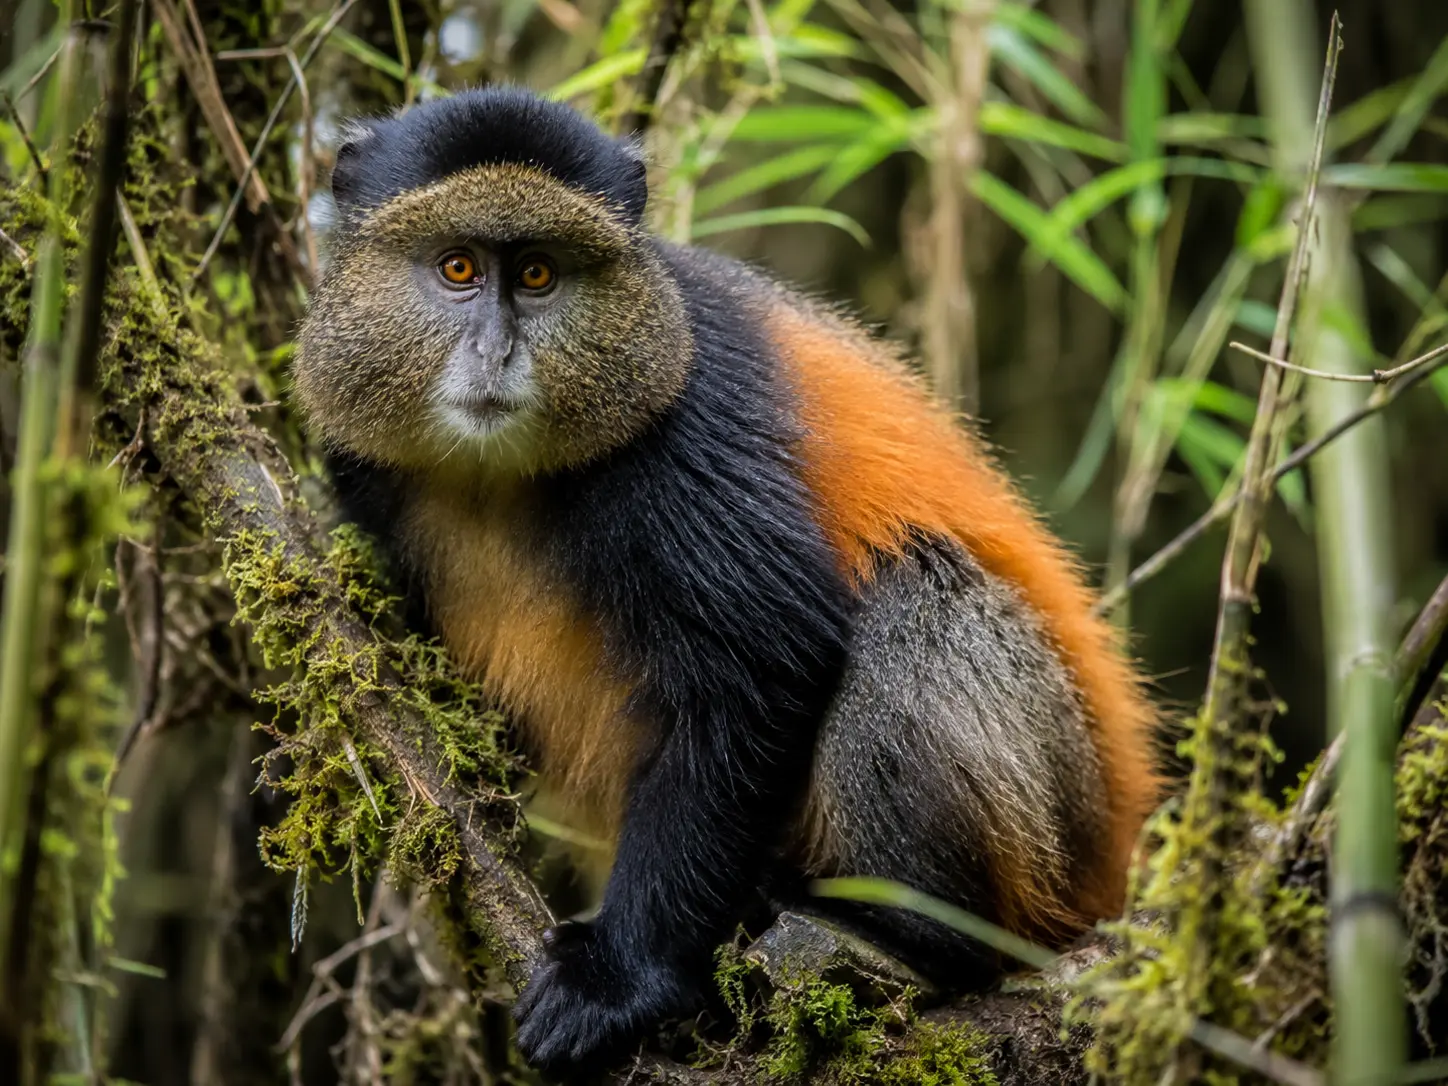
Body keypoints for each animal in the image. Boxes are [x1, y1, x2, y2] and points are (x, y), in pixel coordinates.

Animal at [293, 86, 1163, 1075]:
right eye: (458, 267)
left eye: (540, 276)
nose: (496, 353)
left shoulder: (689, 426)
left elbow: (761, 668)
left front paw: (615, 982)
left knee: (914, 596)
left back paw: (909, 936)